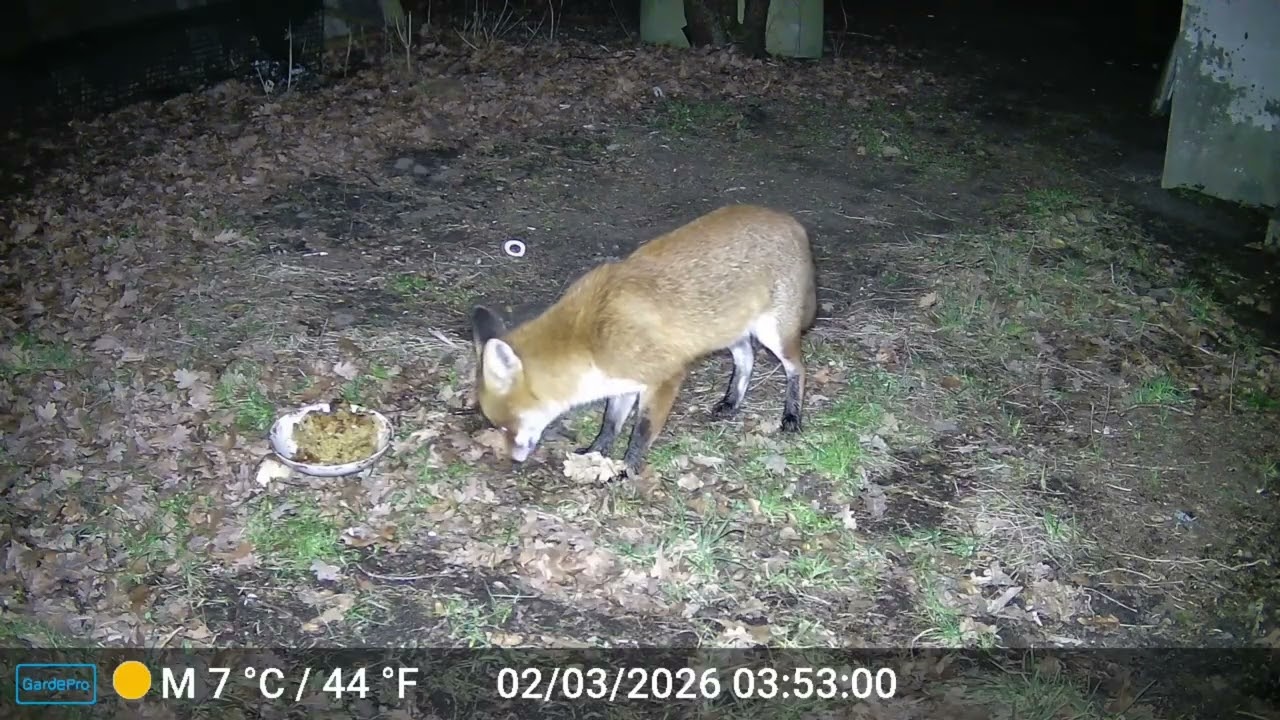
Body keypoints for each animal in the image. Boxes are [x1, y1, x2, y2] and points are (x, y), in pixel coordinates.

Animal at [469, 203, 818, 478]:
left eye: (505, 426)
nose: (514, 460)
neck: (588, 339)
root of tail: (789, 220)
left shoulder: (664, 377)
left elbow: (642, 431)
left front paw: (628, 468)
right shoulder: (623, 383)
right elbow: (610, 424)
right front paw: (595, 453)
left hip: (774, 334)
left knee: (797, 368)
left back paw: (791, 416)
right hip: (726, 331)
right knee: (746, 357)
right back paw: (731, 402)